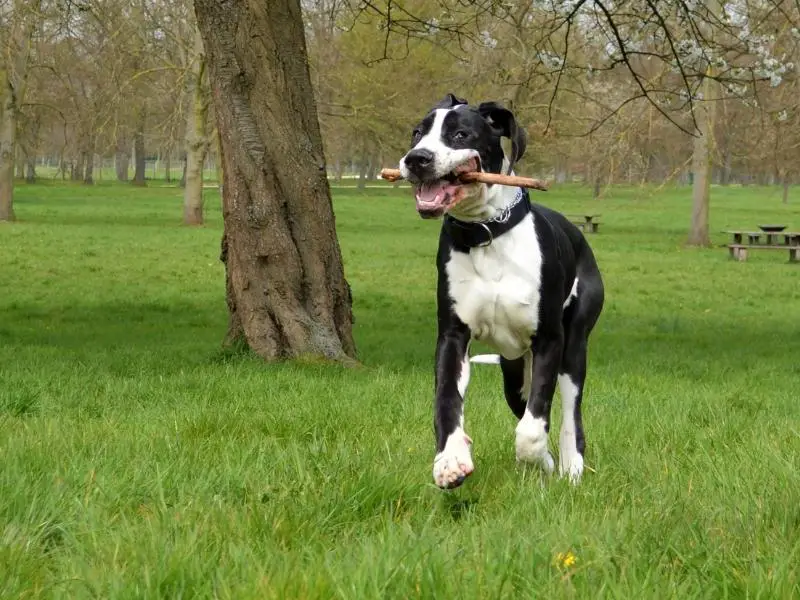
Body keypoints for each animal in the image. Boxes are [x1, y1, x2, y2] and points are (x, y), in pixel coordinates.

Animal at [404, 92, 604, 488]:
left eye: (461, 134)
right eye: (417, 133)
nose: (416, 159)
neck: (486, 234)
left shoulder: (549, 340)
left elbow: (534, 425)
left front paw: (538, 457)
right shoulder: (453, 336)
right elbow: (446, 400)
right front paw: (450, 459)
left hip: (573, 348)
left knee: (569, 413)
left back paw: (571, 466)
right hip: (512, 373)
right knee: (523, 403)